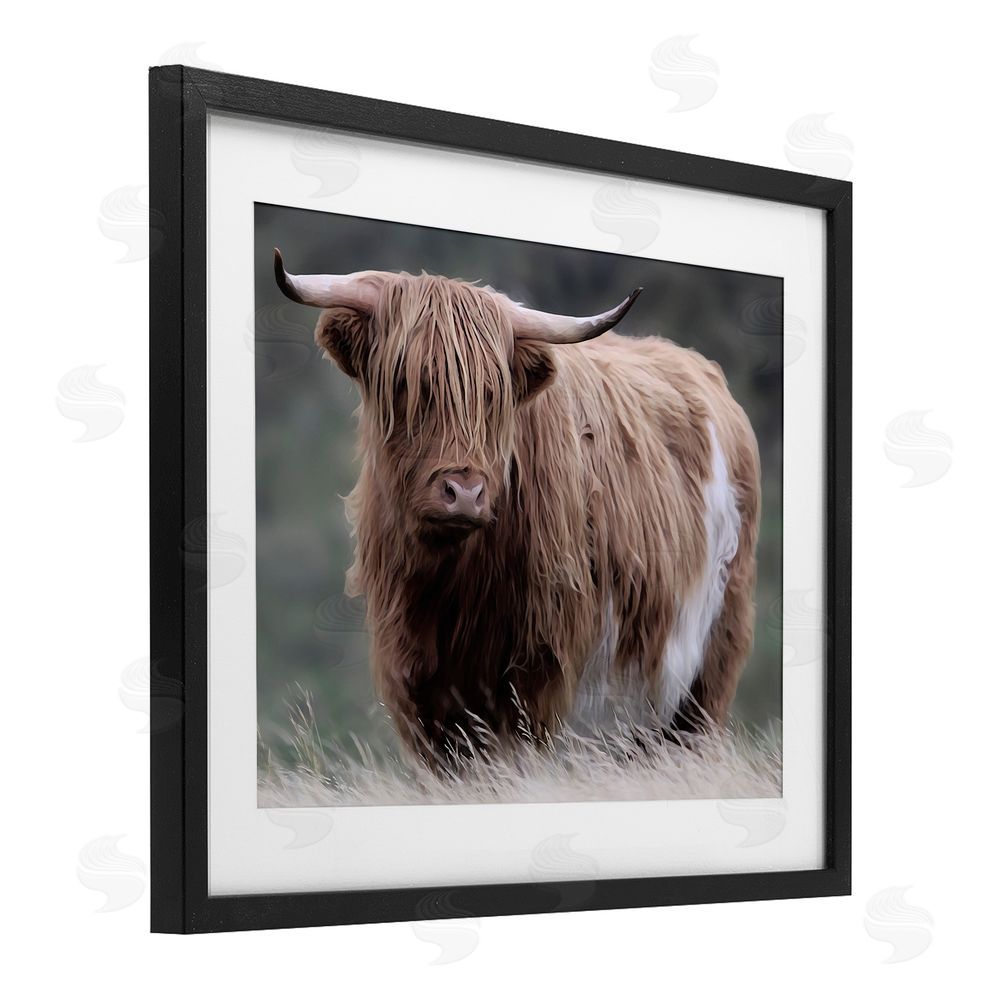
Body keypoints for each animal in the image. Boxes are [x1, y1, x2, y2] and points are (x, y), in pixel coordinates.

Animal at [274, 249, 761, 765]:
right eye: (405, 383)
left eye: (493, 394)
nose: (464, 491)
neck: (450, 586)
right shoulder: (415, 684)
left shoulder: (538, 678)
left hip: (707, 666)